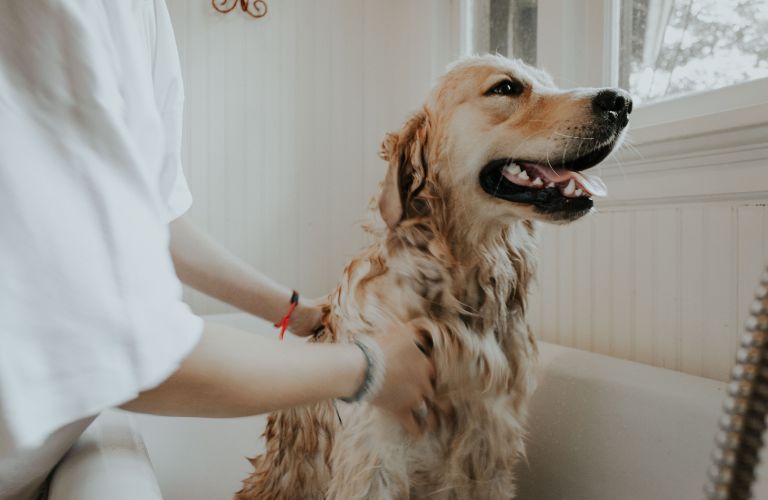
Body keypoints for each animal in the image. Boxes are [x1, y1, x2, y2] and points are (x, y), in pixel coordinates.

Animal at [236, 54, 632, 500]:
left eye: (547, 82)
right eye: (506, 88)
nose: (622, 101)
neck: (461, 291)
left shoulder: (491, 450)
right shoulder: (375, 458)